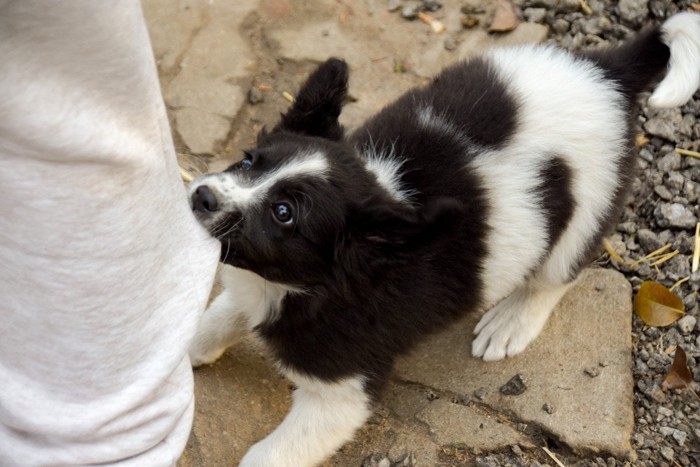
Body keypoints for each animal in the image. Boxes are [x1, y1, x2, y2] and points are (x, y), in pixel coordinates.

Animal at [186, 13, 700, 467]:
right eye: (249, 161)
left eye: (284, 213)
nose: (201, 196)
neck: (302, 285)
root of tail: (607, 72)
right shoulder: (253, 287)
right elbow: (215, 319)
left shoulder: (341, 393)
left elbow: (268, 455)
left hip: (589, 207)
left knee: (558, 272)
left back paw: (511, 320)